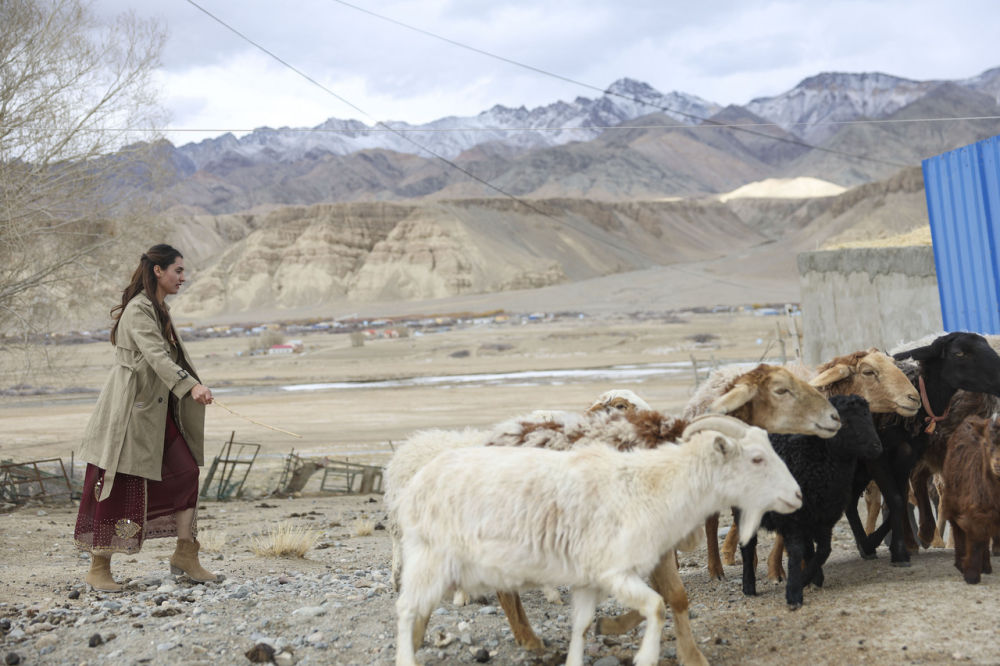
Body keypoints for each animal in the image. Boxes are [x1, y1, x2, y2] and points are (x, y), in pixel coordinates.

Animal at [393, 416, 803, 666]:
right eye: (756, 459)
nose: (798, 496)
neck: (652, 488)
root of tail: (417, 478)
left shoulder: (590, 579)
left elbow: (583, 625)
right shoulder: (614, 572)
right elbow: (657, 605)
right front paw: (646, 656)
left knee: (420, 610)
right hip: (431, 557)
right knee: (407, 609)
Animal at [739, 395, 883, 609]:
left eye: (868, 416)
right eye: (843, 422)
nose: (877, 447)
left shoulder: (825, 518)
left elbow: (823, 550)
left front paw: (807, 578)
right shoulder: (793, 519)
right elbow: (796, 551)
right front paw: (794, 592)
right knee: (748, 545)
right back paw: (748, 586)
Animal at [940, 415, 1000, 584]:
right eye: (985, 443)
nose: (997, 465)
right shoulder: (975, 509)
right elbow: (975, 541)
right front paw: (971, 575)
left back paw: (986, 566)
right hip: (952, 500)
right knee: (958, 530)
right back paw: (961, 563)